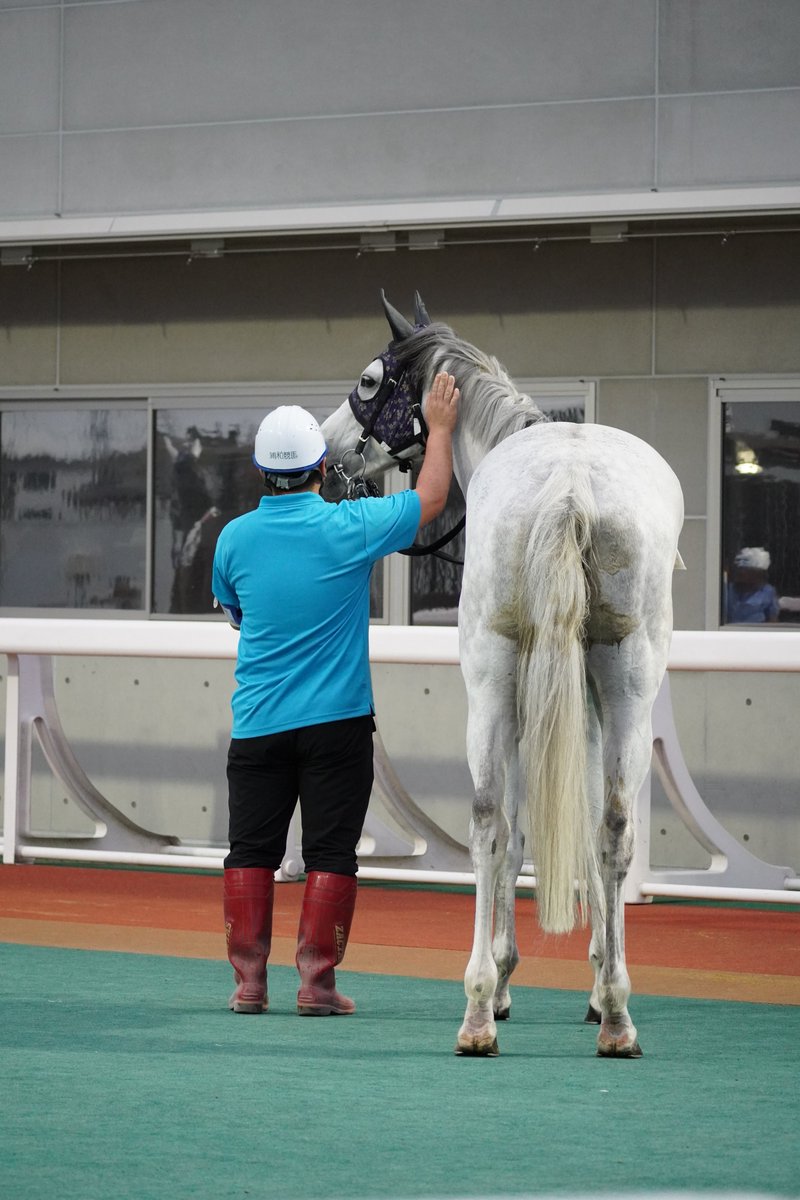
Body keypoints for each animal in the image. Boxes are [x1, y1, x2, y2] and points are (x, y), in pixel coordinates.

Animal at [321, 293, 685, 1058]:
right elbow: (583, 819)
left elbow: (515, 831)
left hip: (491, 679)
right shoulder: (586, 697)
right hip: (628, 679)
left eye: (370, 380)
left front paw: (511, 974)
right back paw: (616, 1014)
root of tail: (571, 486)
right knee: (613, 824)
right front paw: (598, 977)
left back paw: (480, 1008)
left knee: (491, 821)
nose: (331, 447)